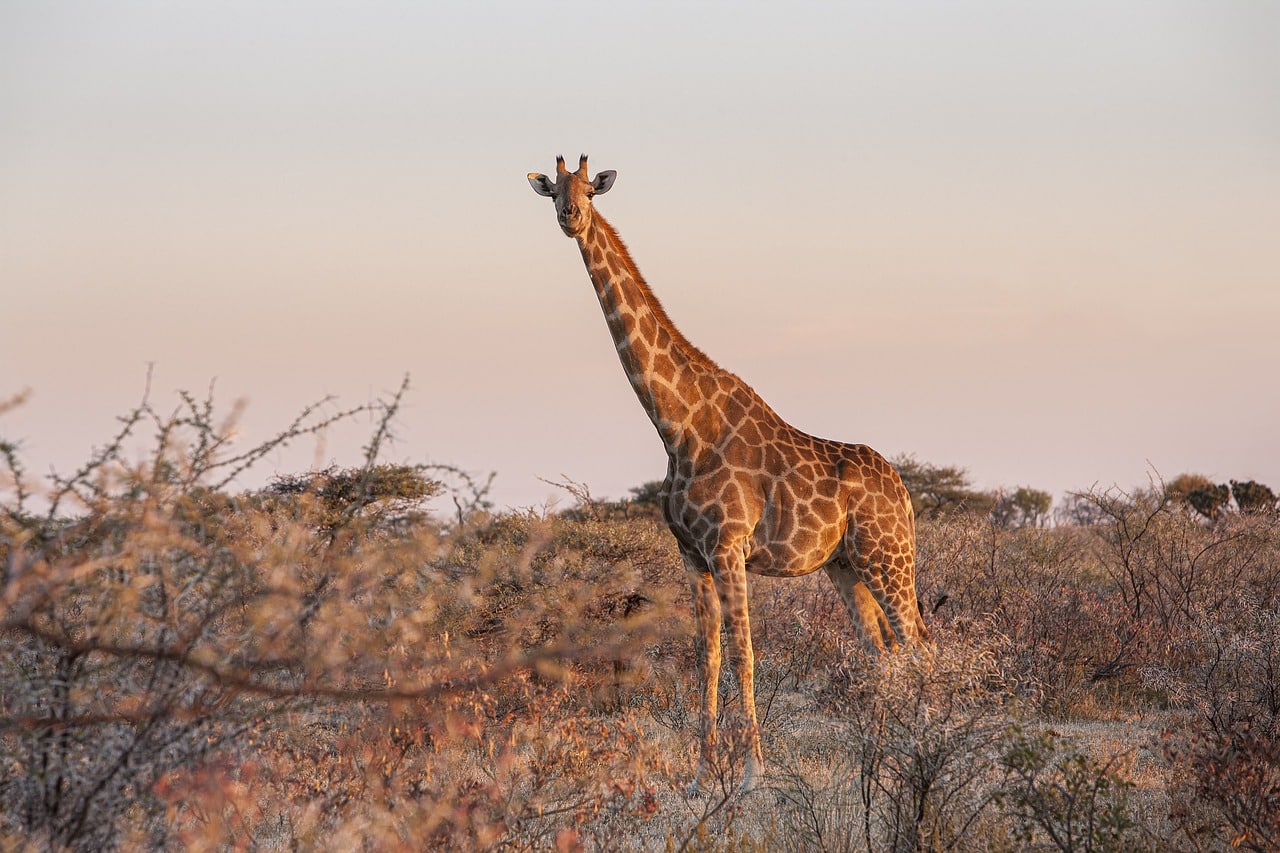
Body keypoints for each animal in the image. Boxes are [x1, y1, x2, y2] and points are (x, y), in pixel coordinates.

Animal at [529, 153, 931, 788]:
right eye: (553, 191)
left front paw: (751, 773)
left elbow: (744, 652)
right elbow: (707, 655)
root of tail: (905, 493)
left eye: (590, 189)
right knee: (881, 650)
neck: (678, 424)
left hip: (888, 556)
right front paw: (702, 773)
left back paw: (926, 747)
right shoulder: (691, 553)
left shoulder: (729, 546)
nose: (571, 217)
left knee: (918, 647)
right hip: (845, 565)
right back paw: (884, 760)